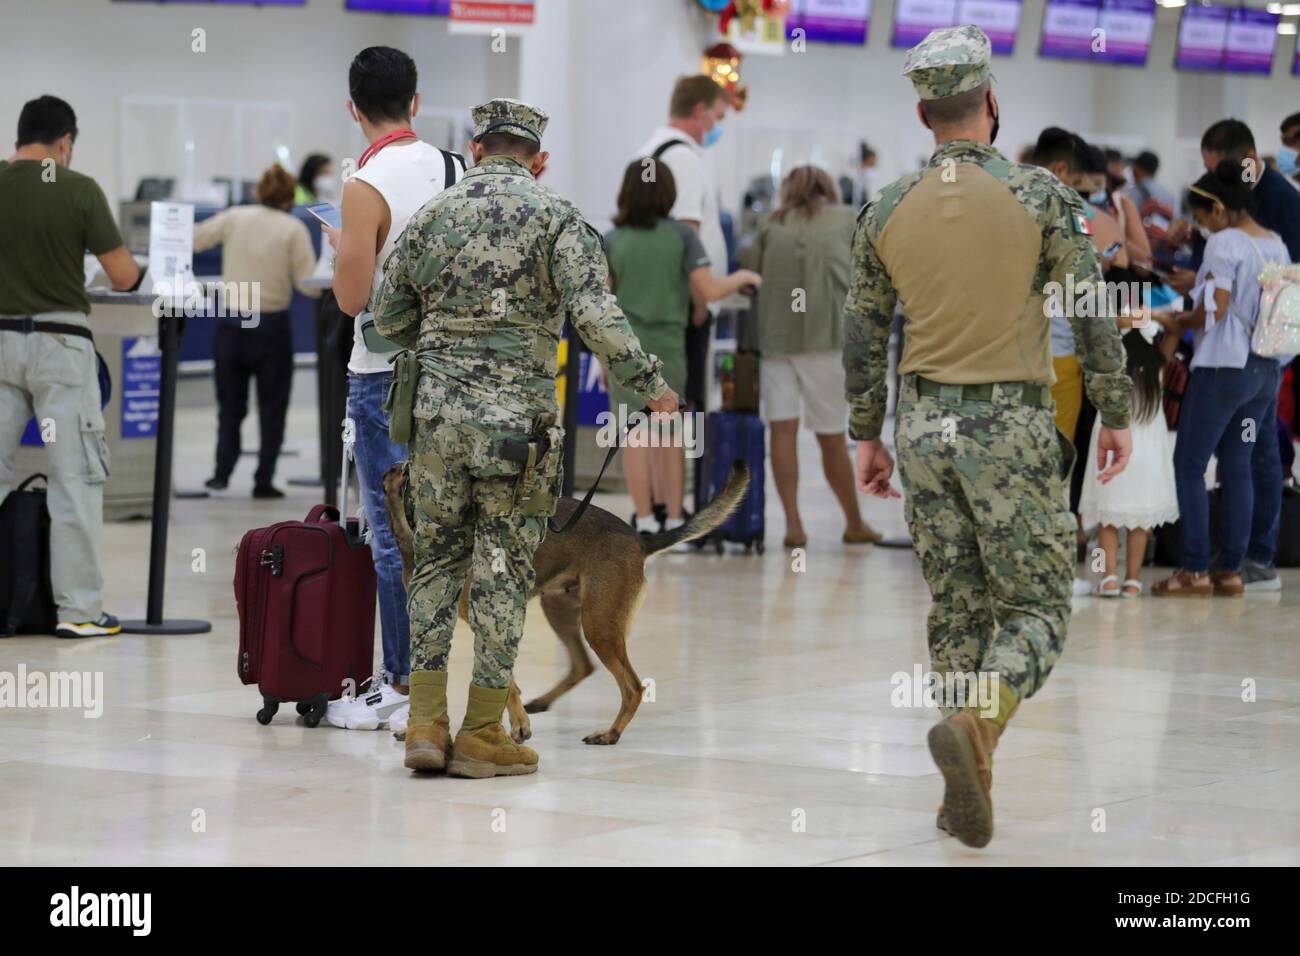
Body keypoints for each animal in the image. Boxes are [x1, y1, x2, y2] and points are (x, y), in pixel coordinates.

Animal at [384, 463, 748, 749]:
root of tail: (640, 540)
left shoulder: (486, 621)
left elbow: (508, 682)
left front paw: (517, 726)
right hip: (560, 610)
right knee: (582, 665)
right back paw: (545, 702)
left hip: (599, 626)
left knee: (632, 687)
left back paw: (610, 734)